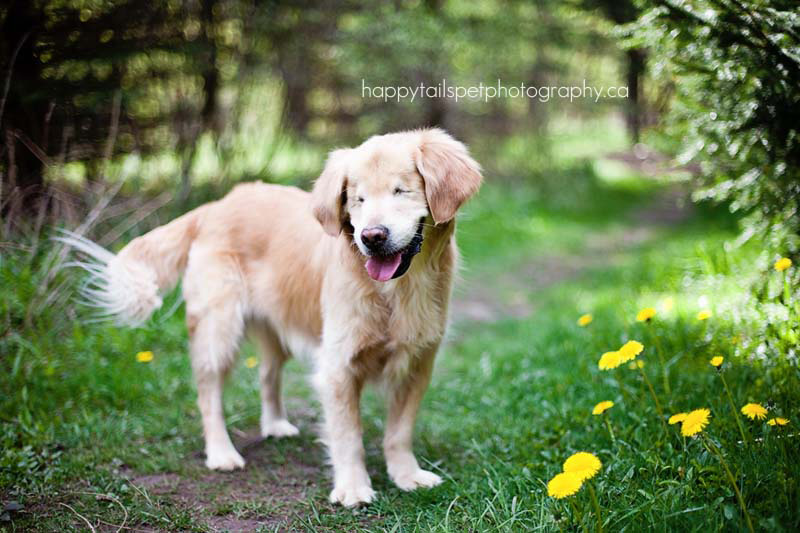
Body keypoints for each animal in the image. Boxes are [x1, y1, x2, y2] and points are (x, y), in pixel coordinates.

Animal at [61, 127, 482, 504]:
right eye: (357, 199)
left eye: (401, 190)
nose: (371, 237)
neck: (396, 290)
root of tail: (217, 205)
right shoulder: (338, 367)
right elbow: (348, 437)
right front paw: (352, 488)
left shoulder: (418, 363)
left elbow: (399, 431)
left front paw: (406, 475)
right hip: (219, 326)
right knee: (208, 392)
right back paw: (222, 452)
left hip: (275, 327)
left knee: (267, 373)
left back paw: (275, 424)